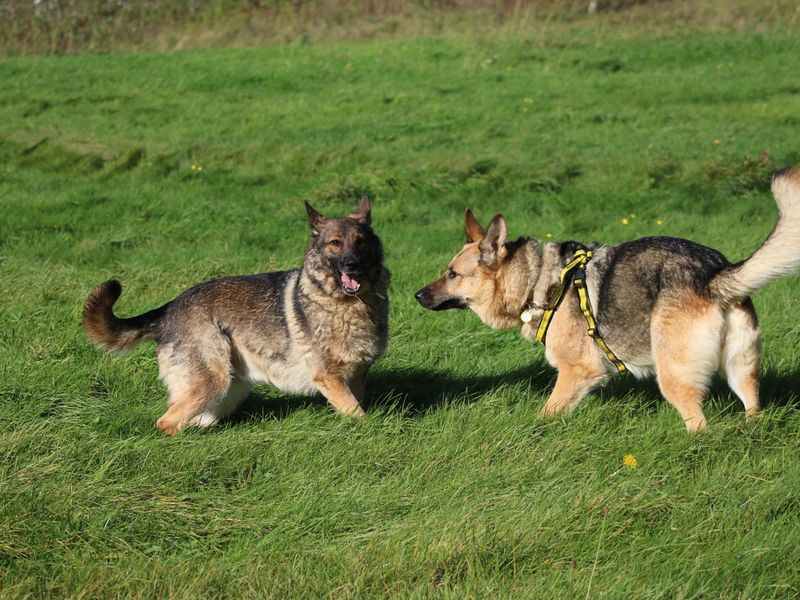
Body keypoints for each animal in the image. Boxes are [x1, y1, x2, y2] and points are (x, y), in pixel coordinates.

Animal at [83, 197, 390, 436]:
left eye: (360, 242)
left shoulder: (357, 375)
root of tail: (169, 307)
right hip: (213, 383)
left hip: (228, 391)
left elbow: (356, 406)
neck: (346, 303)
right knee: (166, 422)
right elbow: (358, 415)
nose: (352, 264)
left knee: (192, 421)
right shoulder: (328, 376)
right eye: (335, 243)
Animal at [416, 169, 800, 432]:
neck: (539, 279)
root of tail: (715, 272)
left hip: (674, 375)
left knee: (698, 423)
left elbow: (546, 413)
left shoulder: (578, 372)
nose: (416, 295)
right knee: (752, 406)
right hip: (741, 370)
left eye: (452, 274)